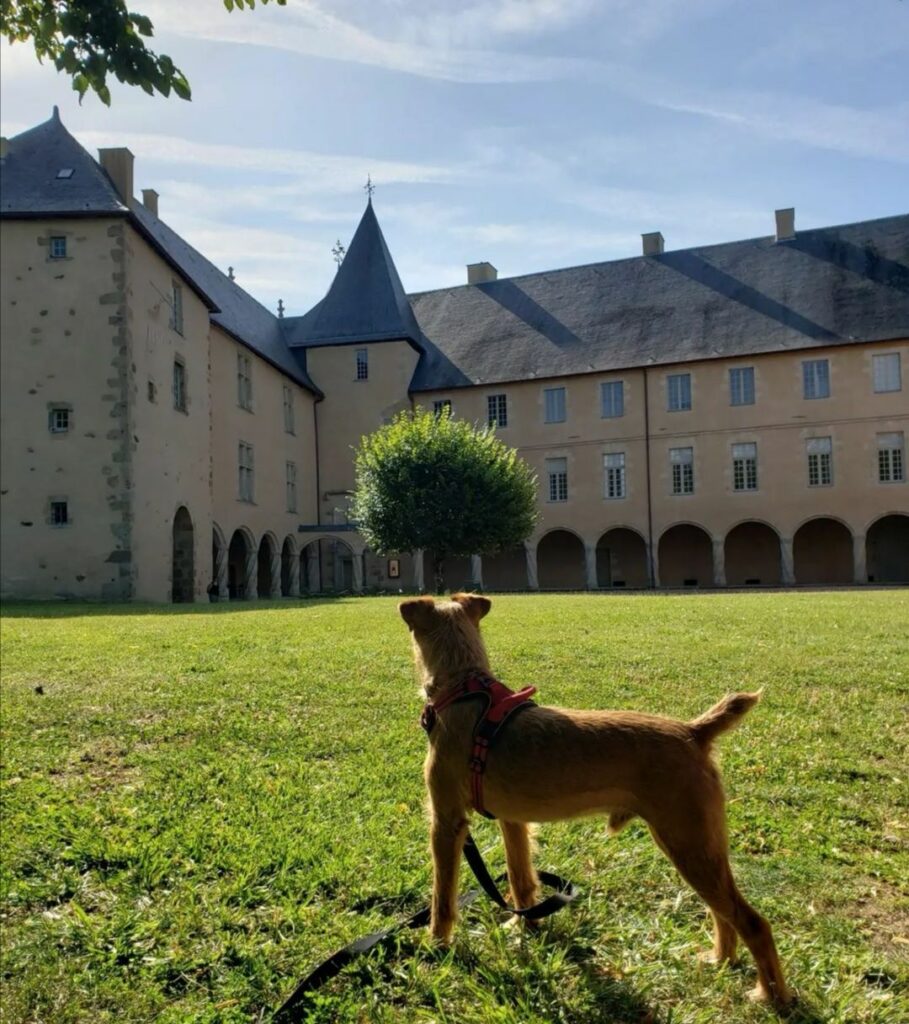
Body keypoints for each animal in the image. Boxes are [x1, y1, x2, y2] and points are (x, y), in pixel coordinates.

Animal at [397, 593, 790, 1007]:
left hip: (687, 842)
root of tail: (693, 732)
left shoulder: (446, 821)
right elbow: (522, 880)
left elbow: (442, 897)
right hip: (701, 846)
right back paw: (720, 959)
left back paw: (770, 995)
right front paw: (525, 925)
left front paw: (436, 945)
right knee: (723, 912)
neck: (465, 690)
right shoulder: (513, 820)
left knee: (752, 921)